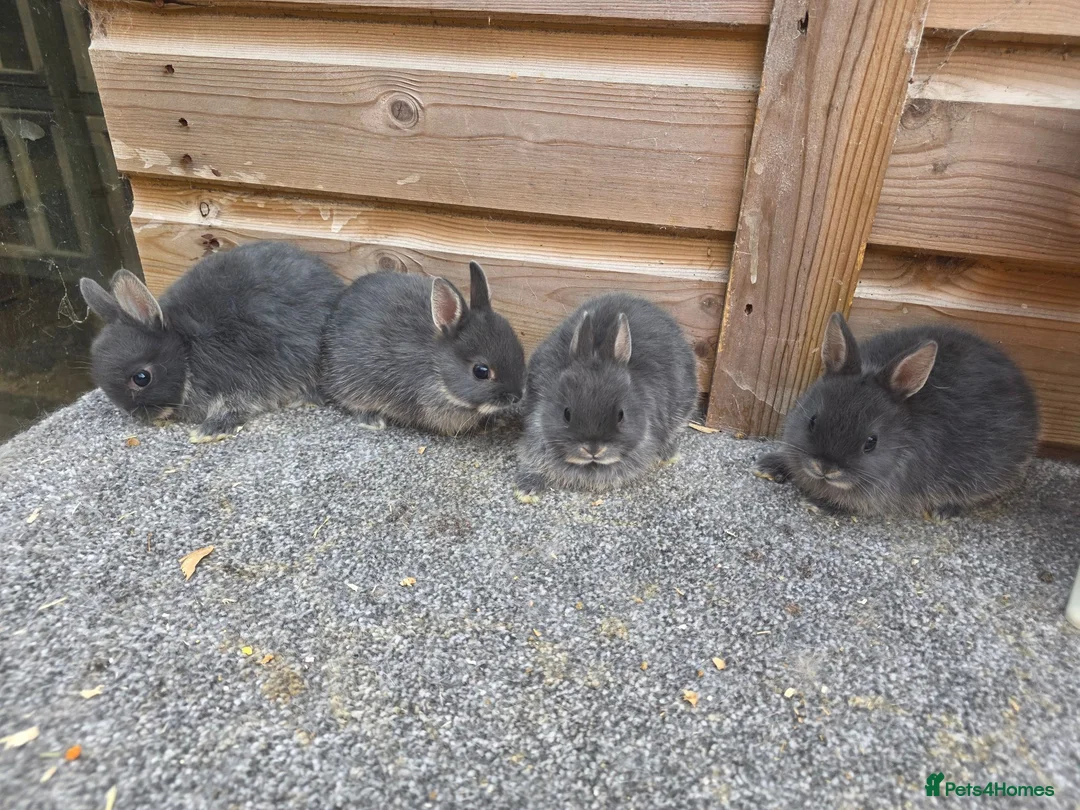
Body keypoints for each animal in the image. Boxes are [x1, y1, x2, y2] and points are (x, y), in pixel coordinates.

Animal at [79, 241, 343, 442]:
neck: (185, 348)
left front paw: (209, 431)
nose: (137, 415)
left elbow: (234, 404)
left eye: (141, 378)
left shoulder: (239, 376)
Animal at [754, 312, 1039, 517]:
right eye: (812, 421)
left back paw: (946, 510)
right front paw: (769, 465)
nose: (825, 468)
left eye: (871, 443)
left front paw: (819, 505)